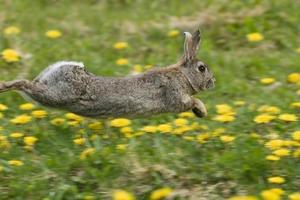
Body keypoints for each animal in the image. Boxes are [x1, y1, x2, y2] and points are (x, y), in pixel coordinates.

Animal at [0, 28, 216, 118]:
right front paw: (202, 110)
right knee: (25, 83)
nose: (213, 82)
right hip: (57, 95)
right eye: (202, 68)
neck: (183, 75)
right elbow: (191, 101)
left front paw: (201, 113)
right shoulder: (175, 95)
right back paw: (3, 85)